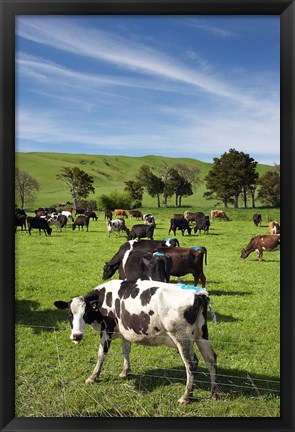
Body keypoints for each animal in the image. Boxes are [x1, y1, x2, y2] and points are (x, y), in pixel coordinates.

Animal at [54, 278, 219, 404]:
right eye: (70, 314)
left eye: (85, 312)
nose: (76, 336)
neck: (103, 298)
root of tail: (198, 293)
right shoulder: (126, 332)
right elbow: (126, 350)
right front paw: (125, 371)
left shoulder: (107, 330)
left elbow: (101, 354)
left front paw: (93, 377)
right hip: (201, 336)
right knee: (210, 359)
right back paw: (213, 393)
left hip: (181, 338)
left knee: (190, 364)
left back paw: (186, 396)